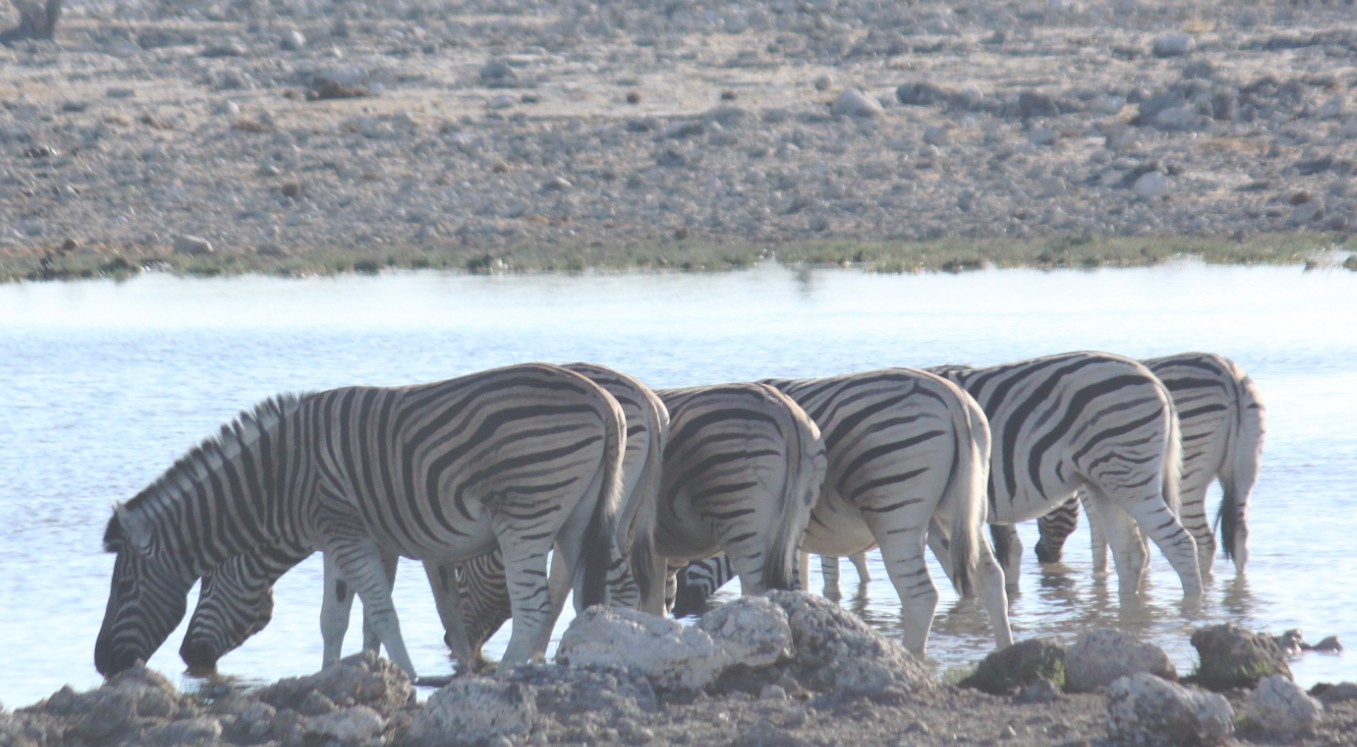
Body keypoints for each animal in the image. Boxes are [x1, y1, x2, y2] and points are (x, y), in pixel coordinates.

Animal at [97, 361, 629, 679]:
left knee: (534, 605)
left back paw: (503, 677)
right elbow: (337, 619)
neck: (277, 477)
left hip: (524, 515)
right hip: (578, 517)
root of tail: (603, 400)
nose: (101, 664)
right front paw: (336, 677)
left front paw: (408, 679)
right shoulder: (348, 539)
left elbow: (381, 613)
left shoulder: (347, 532)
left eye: (124, 587)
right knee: (578, 598)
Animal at [928, 353, 1205, 603]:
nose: (1043, 556)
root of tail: (1155, 380)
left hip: (1129, 476)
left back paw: (1192, 605)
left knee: (1179, 543)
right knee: (1130, 552)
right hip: (1104, 482)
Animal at [1031, 353, 1264, 578]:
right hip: (1245, 470)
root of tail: (1229, 374)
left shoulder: (1094, 482)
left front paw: (1100, 573)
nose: (1041, 557)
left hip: (1188, 470)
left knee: (1204, 541)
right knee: (1240, 537)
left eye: (1044, 513)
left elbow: (1099, 535)